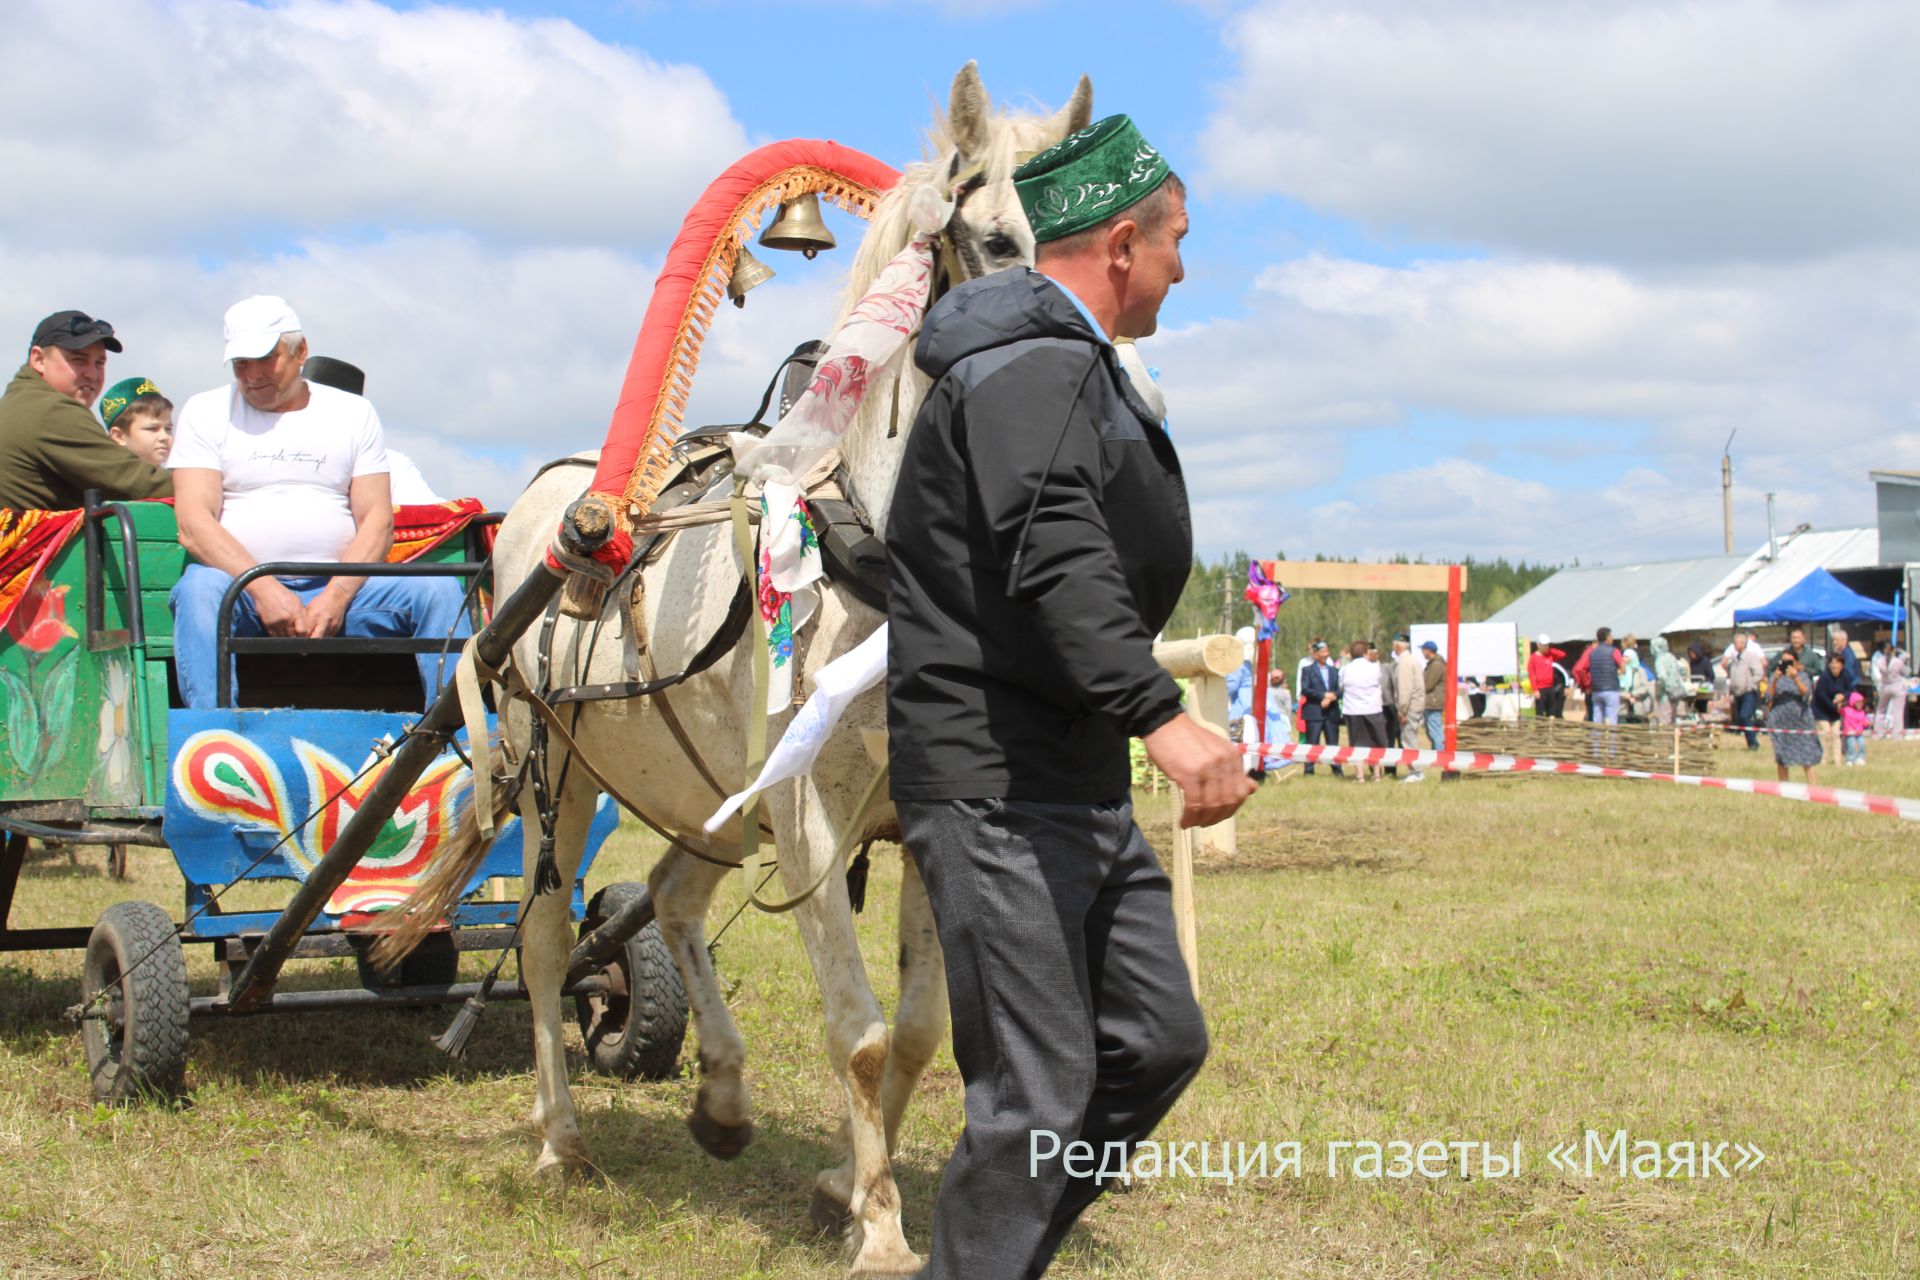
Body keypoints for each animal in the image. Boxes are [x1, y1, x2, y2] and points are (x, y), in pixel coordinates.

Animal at [382, 65, 1090, 1274]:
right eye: (995, 243)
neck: (876, 550)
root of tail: (548, 505)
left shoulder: (918, 809)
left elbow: (917, 1029)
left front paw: (844, 1184)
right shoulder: (808, 810)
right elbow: (859, 1033)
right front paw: (880, 1228)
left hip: (709, 798)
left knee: (668, 899)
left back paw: (719, 1096)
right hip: (559, 776)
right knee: (544, 942)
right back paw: (559, 1135)